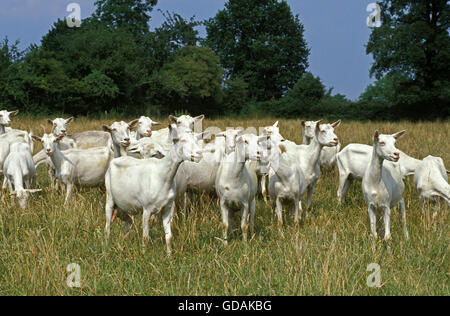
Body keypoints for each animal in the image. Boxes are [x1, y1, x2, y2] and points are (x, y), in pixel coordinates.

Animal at [103, 124, 202, 256]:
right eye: (182, 140)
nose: (199, 154)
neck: (162, 174)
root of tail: (115, 159)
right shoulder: (147, 209)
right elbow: (145, 237)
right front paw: (144, 255)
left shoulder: (167, 208)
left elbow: (169, 236)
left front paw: (169, 256)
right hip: (109, 198)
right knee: (107, 227)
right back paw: (106, 249)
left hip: (123, 207)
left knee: (128, 222)